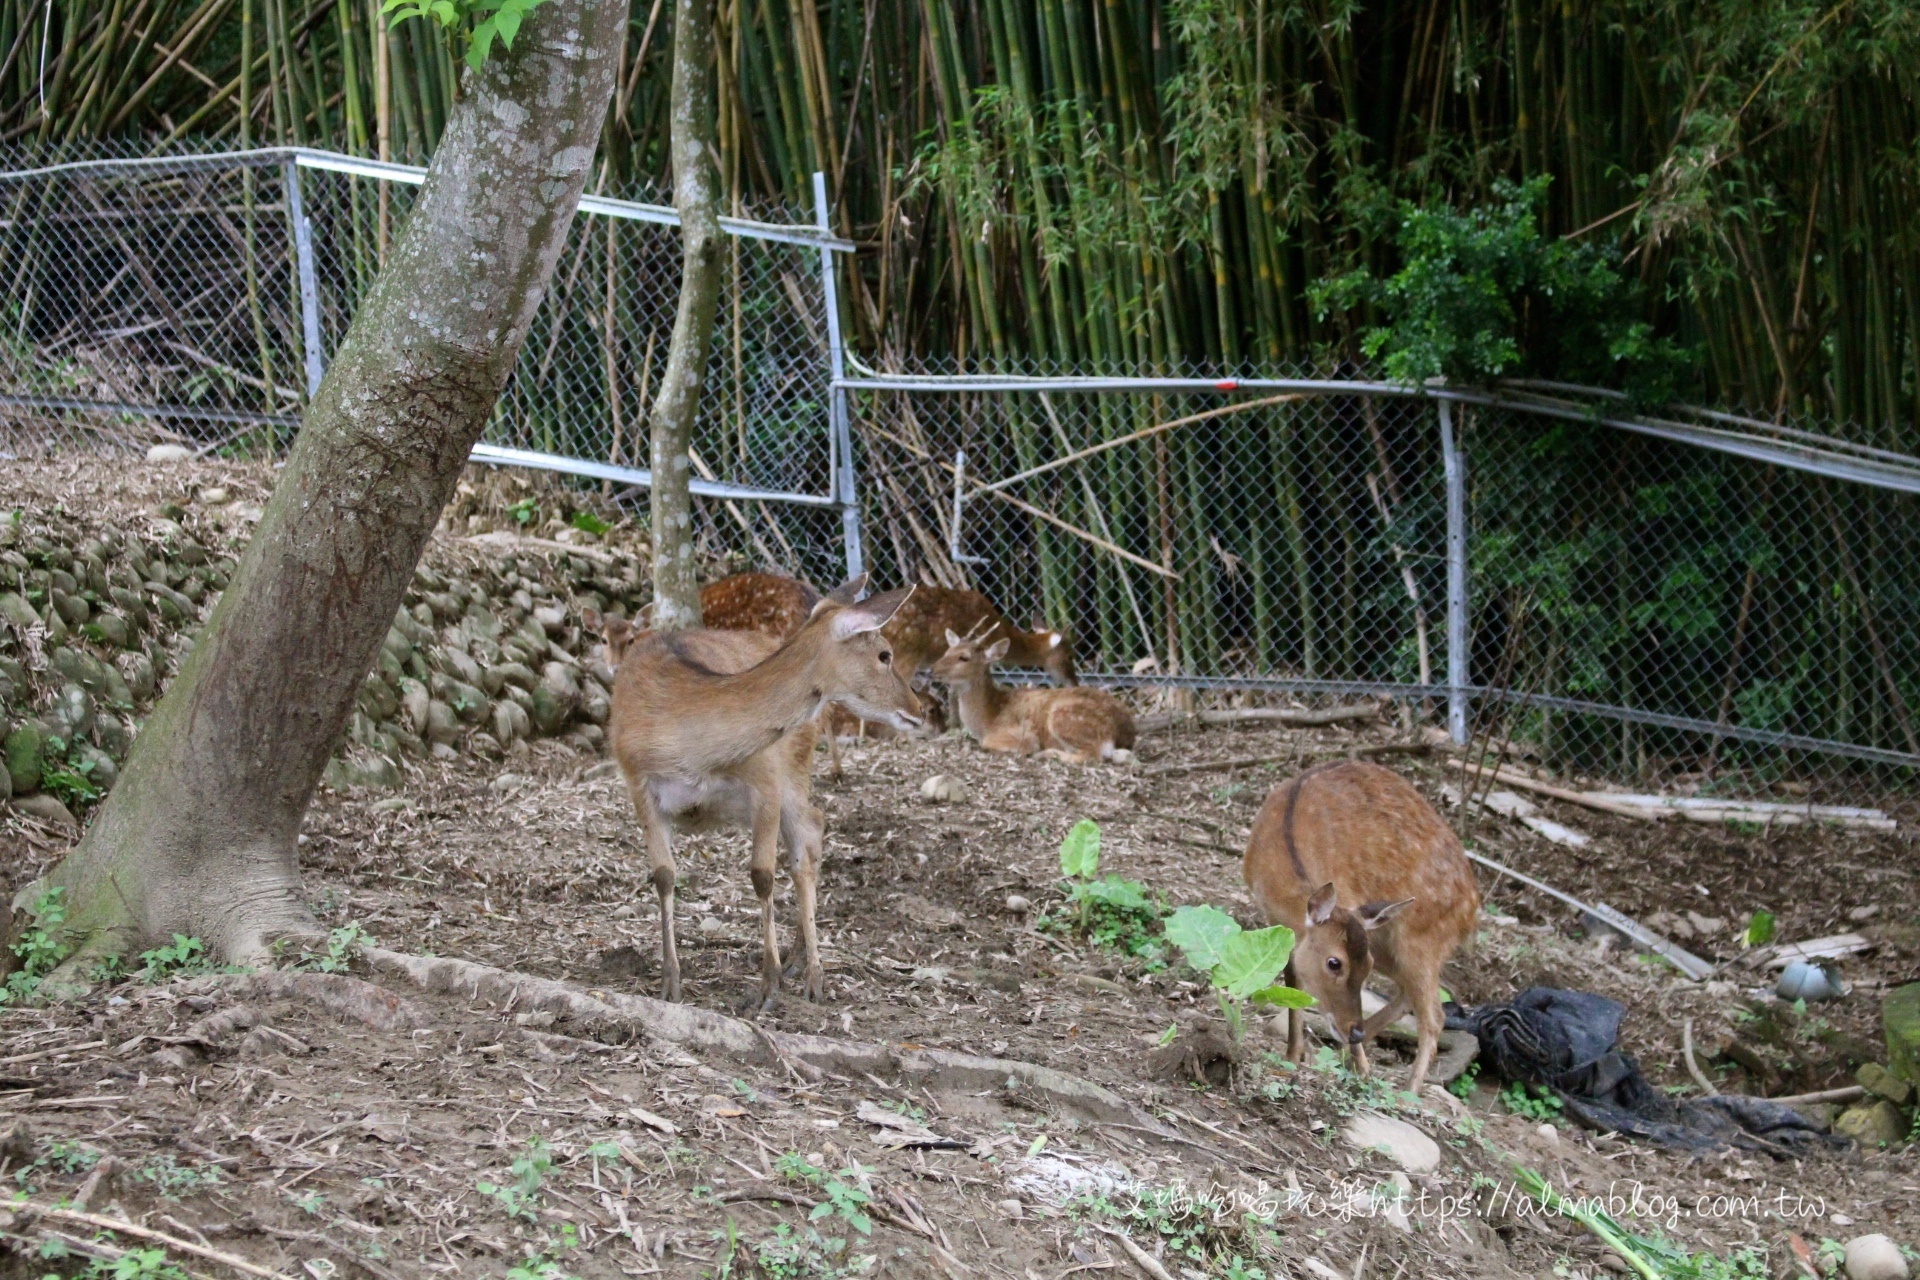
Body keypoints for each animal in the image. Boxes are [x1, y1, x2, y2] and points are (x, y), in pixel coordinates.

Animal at [591, 579, 921, 1013]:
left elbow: (762, 875)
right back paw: (799, 960)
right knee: (812, 829)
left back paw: (810, 972)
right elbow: (663, 875)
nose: (918, 707)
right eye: (885, 654)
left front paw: (767, 987)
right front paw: (670, 983)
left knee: (809, 835)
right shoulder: (637, 782)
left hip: (795, 767)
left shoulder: (766, 777)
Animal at [933, 629, 1128, 759]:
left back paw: (1049, 753)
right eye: (946, 652)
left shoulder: (1022, 734)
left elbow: (992, 743)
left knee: (1091, 755)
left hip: (1063, 718)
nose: (933, 670)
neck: (987, 719)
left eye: (964, 658)